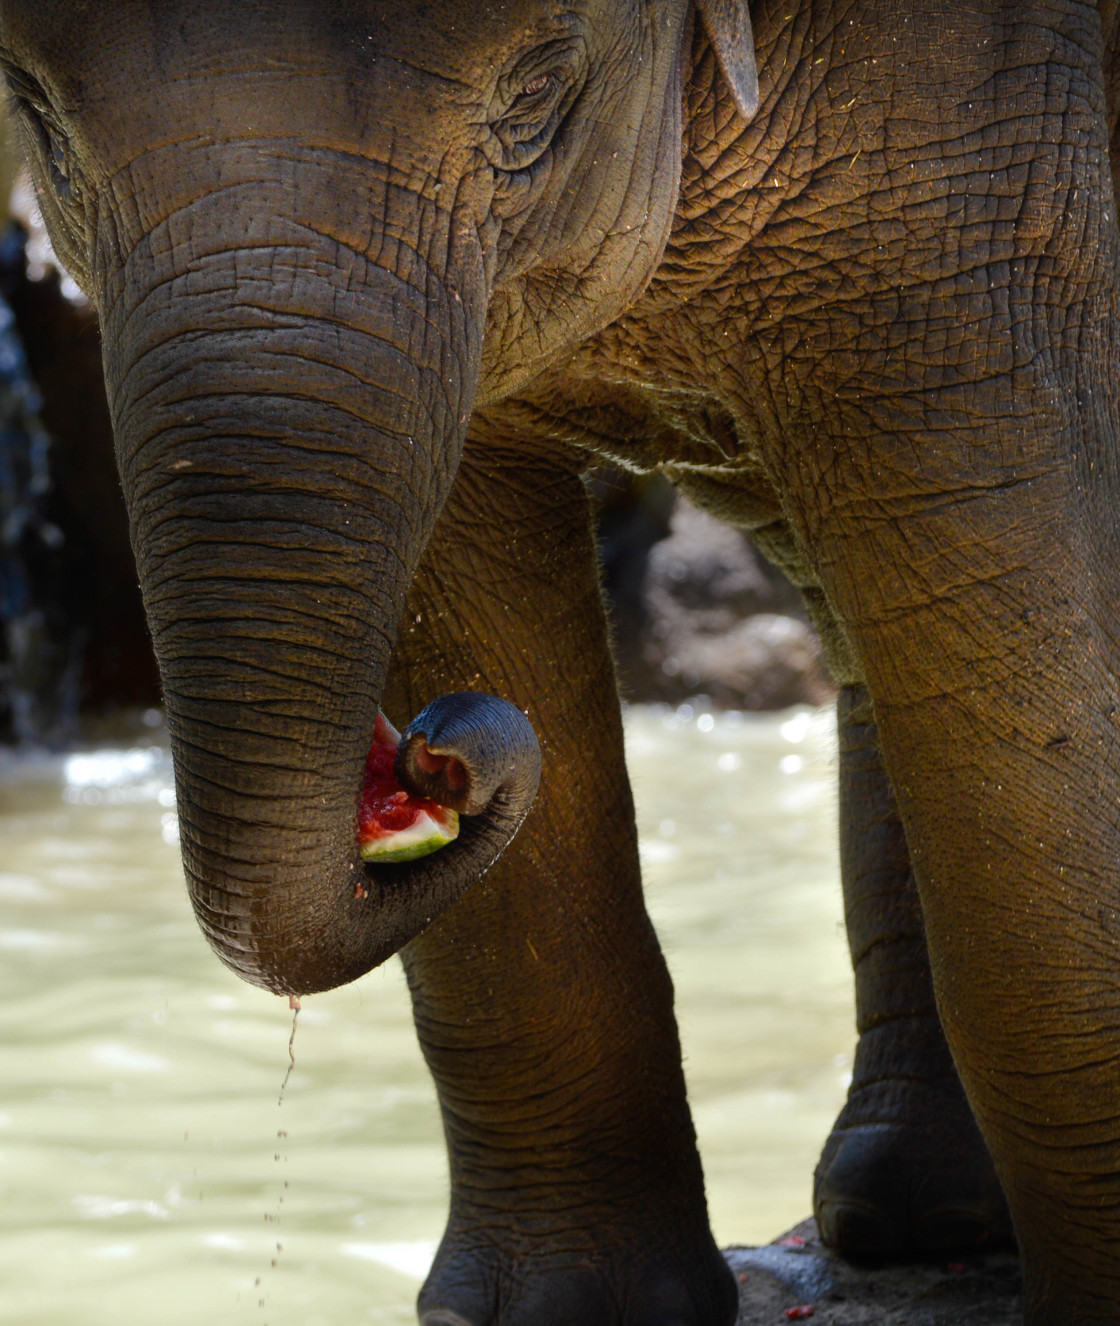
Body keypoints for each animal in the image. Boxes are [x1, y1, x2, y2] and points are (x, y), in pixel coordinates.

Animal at [4, 0, 1113, 1320]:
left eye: (535, 91)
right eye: (34, 113)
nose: (436, 752)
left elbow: (995, 557)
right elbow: (465, 558)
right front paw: (566, 1313)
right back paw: (912, 1217)